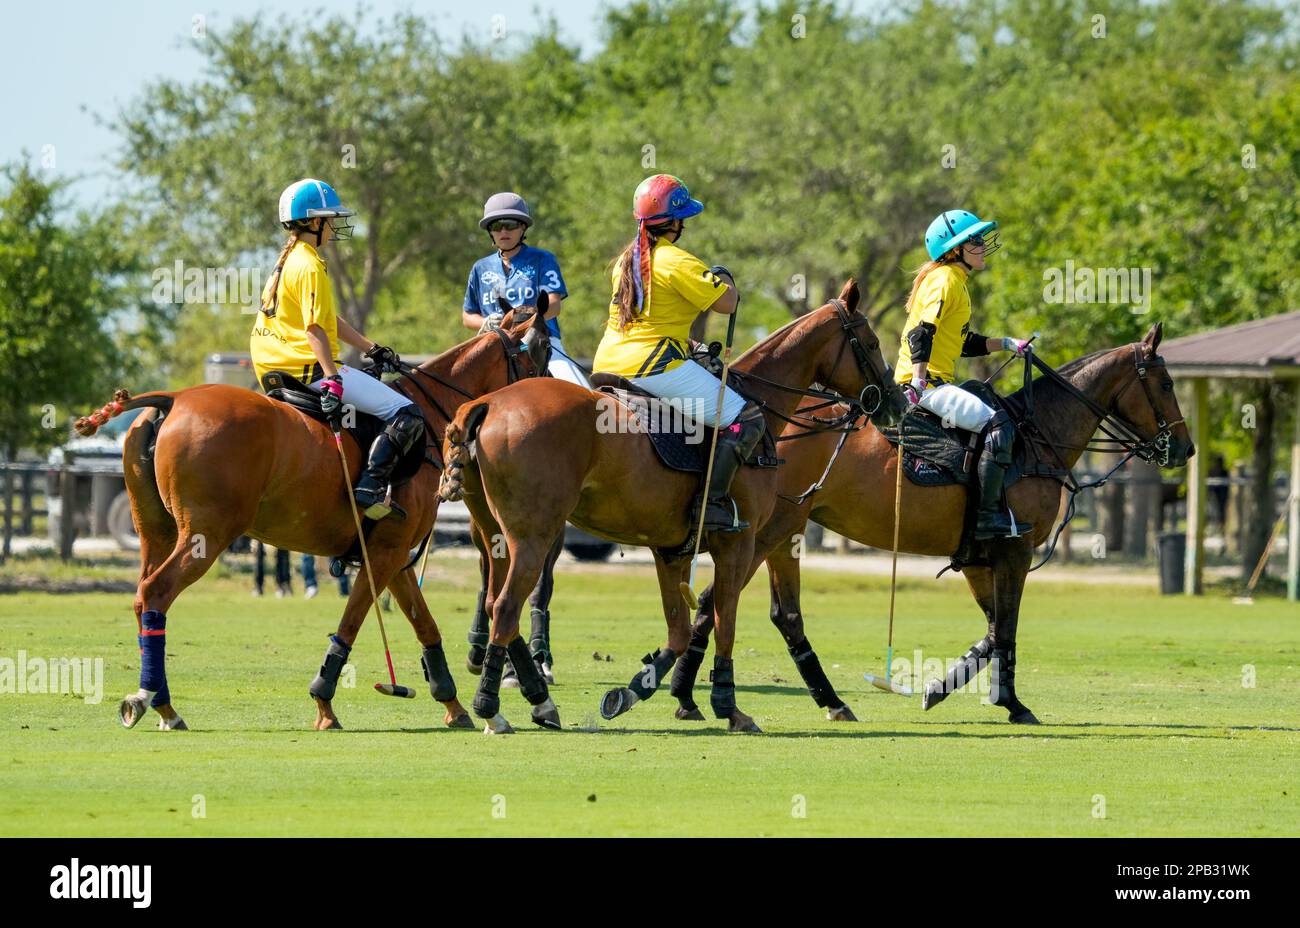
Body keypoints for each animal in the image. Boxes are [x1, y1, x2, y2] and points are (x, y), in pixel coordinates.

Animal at [72, 309, 548, 727]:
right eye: (537, 353)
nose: (542, 408)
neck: (429, 421)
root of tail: (171, 399)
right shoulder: (384, 554)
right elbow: (352, 624)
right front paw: (324, 703)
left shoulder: (392, 554)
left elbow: (428, 625)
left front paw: (458, 704)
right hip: (206, 534)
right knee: (156, 593)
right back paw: (156, 702)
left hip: (157, 531)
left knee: (142, 596)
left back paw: (161, 704)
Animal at [436, 278, 904, 733]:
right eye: (871, 342)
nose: (894, 403)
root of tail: (488, 402)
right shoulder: (739, 542)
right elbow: (724, 620)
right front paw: (729, 706)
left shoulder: (670, 551)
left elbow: (681, 629)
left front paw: (632, 692)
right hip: (534, 534)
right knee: (505, 607)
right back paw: (493, 709)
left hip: (494, 534)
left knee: (496, 601)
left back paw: (535, 702)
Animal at [670, 322, 1190, 717]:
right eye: (1166, 384)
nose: (1185, 449)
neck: (1038, 434)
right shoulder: (1014, 549)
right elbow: (1006, 629)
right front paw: (1013, 704)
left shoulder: (979, 557)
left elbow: (992, 632)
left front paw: (937, 689)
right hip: (770, 527)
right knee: (723, 599)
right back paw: (692, 692)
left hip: (789, 529)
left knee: (769, 610)